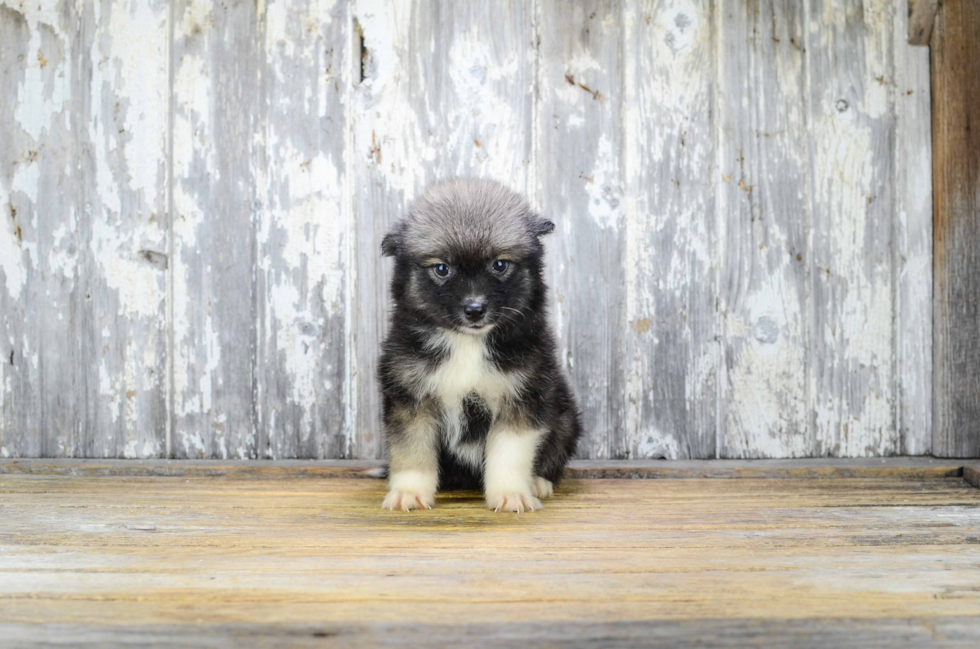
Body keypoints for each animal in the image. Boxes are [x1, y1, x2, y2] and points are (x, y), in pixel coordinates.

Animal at [378, 177, 580, 512]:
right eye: (442, 269)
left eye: (499, 265)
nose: (474, 309)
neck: (467, 343)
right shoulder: (411, 399)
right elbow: (412, 451)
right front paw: (409, 491)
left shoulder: (521, 397)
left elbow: (510, 453)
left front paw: (511, 493)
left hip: (566, 419)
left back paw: (538, 482)